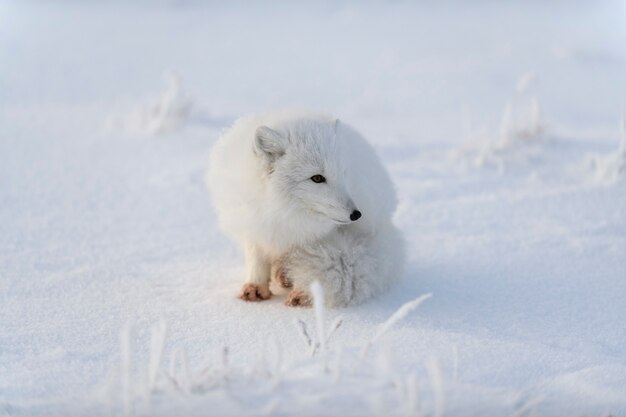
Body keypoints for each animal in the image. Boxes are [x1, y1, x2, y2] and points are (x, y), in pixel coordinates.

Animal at [207, 109, 404, 306]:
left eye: (343, 174)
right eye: (317, 178)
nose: (356, 214)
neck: (283, 212)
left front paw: (303, 291)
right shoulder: (254, 226)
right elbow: (256, 260)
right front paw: (255, 286)